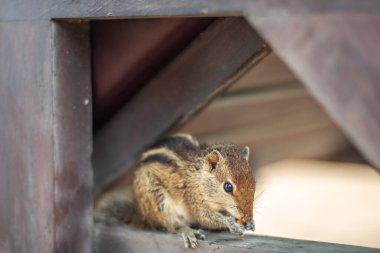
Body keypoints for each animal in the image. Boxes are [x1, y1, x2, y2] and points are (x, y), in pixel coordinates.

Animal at [95, 133, 255, 248]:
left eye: (253, 182)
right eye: (228, 187)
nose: (247, 217)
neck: (198, 176)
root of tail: (143, 216)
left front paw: (250, 223)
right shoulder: (194, 197)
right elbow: (206, 217)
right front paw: (231, 224)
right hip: (158, 201)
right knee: (171, 225)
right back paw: (187, 231)